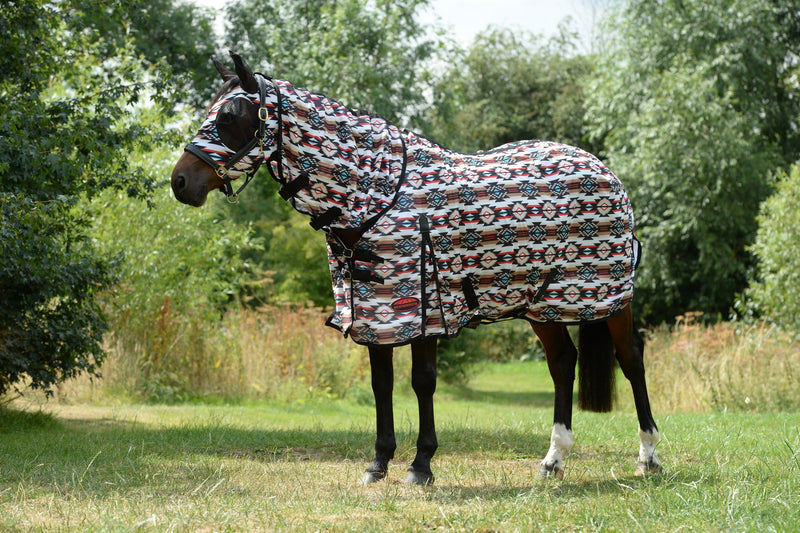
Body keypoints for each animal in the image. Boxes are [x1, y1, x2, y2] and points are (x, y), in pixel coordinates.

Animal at [171, 53, 662, 485]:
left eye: (231, 117)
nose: (180, 183)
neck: (380, 194)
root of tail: (602, 168)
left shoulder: (426, 307)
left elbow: (422, 383)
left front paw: (420, 465)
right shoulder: (374, 311)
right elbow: (381, 384)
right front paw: (378, 464)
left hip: (610, 296)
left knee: (631, 359)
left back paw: (649, 457)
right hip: (541, 303)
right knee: (562, 363)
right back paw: (553, 461)